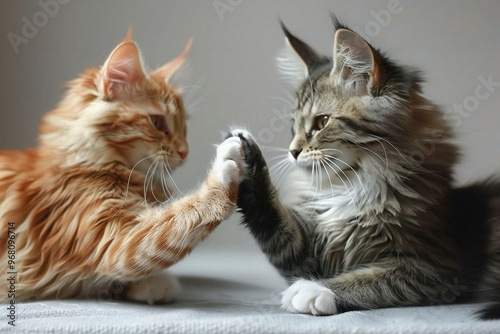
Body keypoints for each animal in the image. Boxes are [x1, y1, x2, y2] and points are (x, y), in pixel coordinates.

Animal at [229, 18, 500, 318]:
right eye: (293, 126)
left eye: (321, 122)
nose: (293, 151)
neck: (350, 185)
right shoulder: (310, 251)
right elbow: (273, 223)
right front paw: (240, 155)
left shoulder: (436, 266)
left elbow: (372, 279)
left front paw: (314, 290)